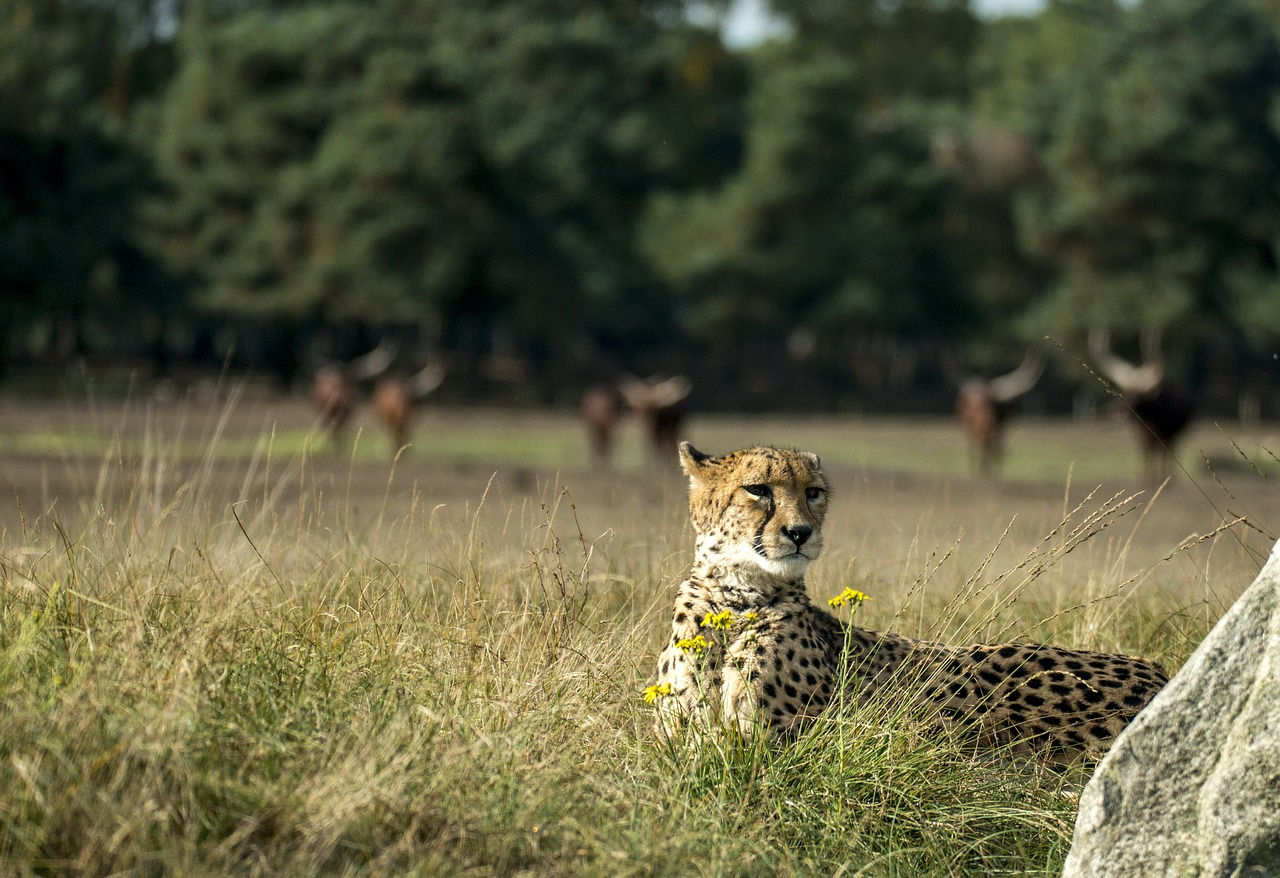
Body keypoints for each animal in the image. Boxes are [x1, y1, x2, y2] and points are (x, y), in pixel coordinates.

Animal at [655, 442, 1167, 767]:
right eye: (758, 489)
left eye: (813, 492)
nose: (801, 532)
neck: (736, 600)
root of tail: (1159, 671)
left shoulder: (772, 743)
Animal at [1085, 332, 1192, 481]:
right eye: (1124, 390)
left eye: (1139, 394)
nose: (1117, 410)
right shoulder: (1141, 434)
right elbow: (1145, 454)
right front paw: (1145, 479)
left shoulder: (1165, 433)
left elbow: (1161, 454)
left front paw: (1160, 479)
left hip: (1174, 434)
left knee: (1167, 453)